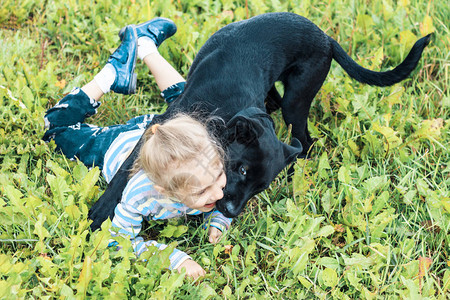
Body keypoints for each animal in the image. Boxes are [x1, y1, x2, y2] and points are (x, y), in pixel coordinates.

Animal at [88, 10, 428, 229]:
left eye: (260, 188)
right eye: (240, 169)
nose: (230, 212)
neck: (221, 115)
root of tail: (327, 39)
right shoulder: (160, 124)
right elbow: (124, 171)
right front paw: (100, 212)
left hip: (298, 98)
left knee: (305, 141)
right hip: (289, 98)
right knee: (289, 120)